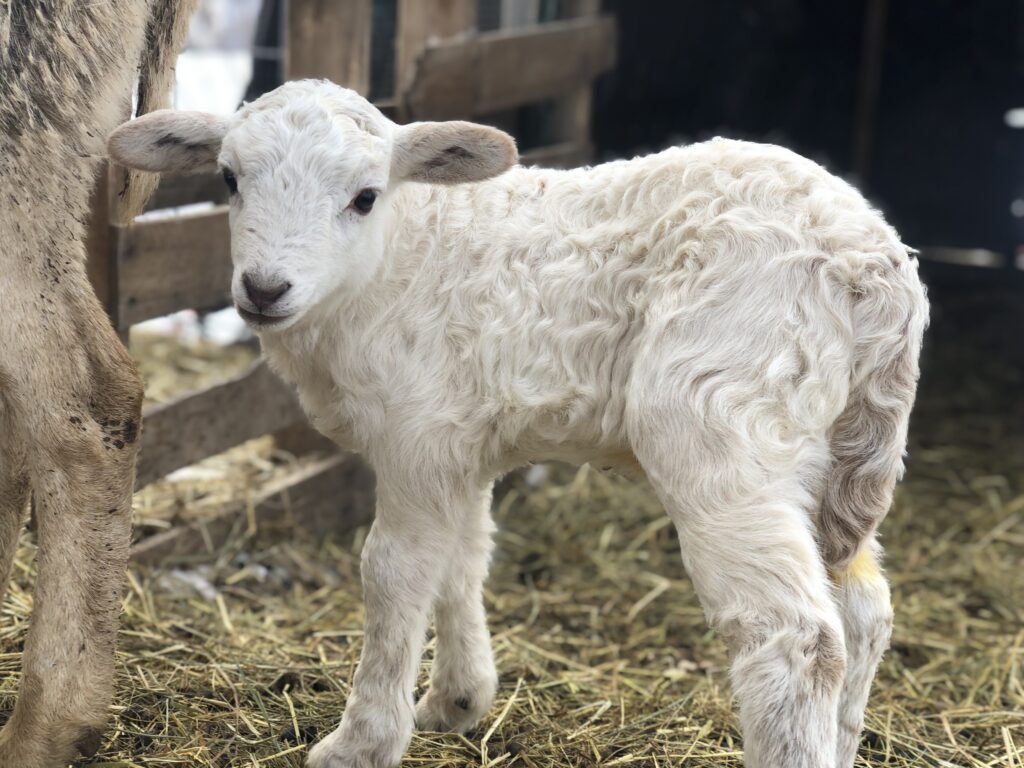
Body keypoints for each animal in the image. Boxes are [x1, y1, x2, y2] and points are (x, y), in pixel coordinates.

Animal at [108, 79, 928, 768]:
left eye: (365, 197)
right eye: (228, 179)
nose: (264, 288)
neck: (395, 264)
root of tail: (875, 263)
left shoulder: (416, 434)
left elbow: (394, 572)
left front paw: (362, 742)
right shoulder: (458, 440)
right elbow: (464, 556)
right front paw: (458, 700)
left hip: (721, 417)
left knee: (797, 637)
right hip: (840, 448)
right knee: (864, 608)